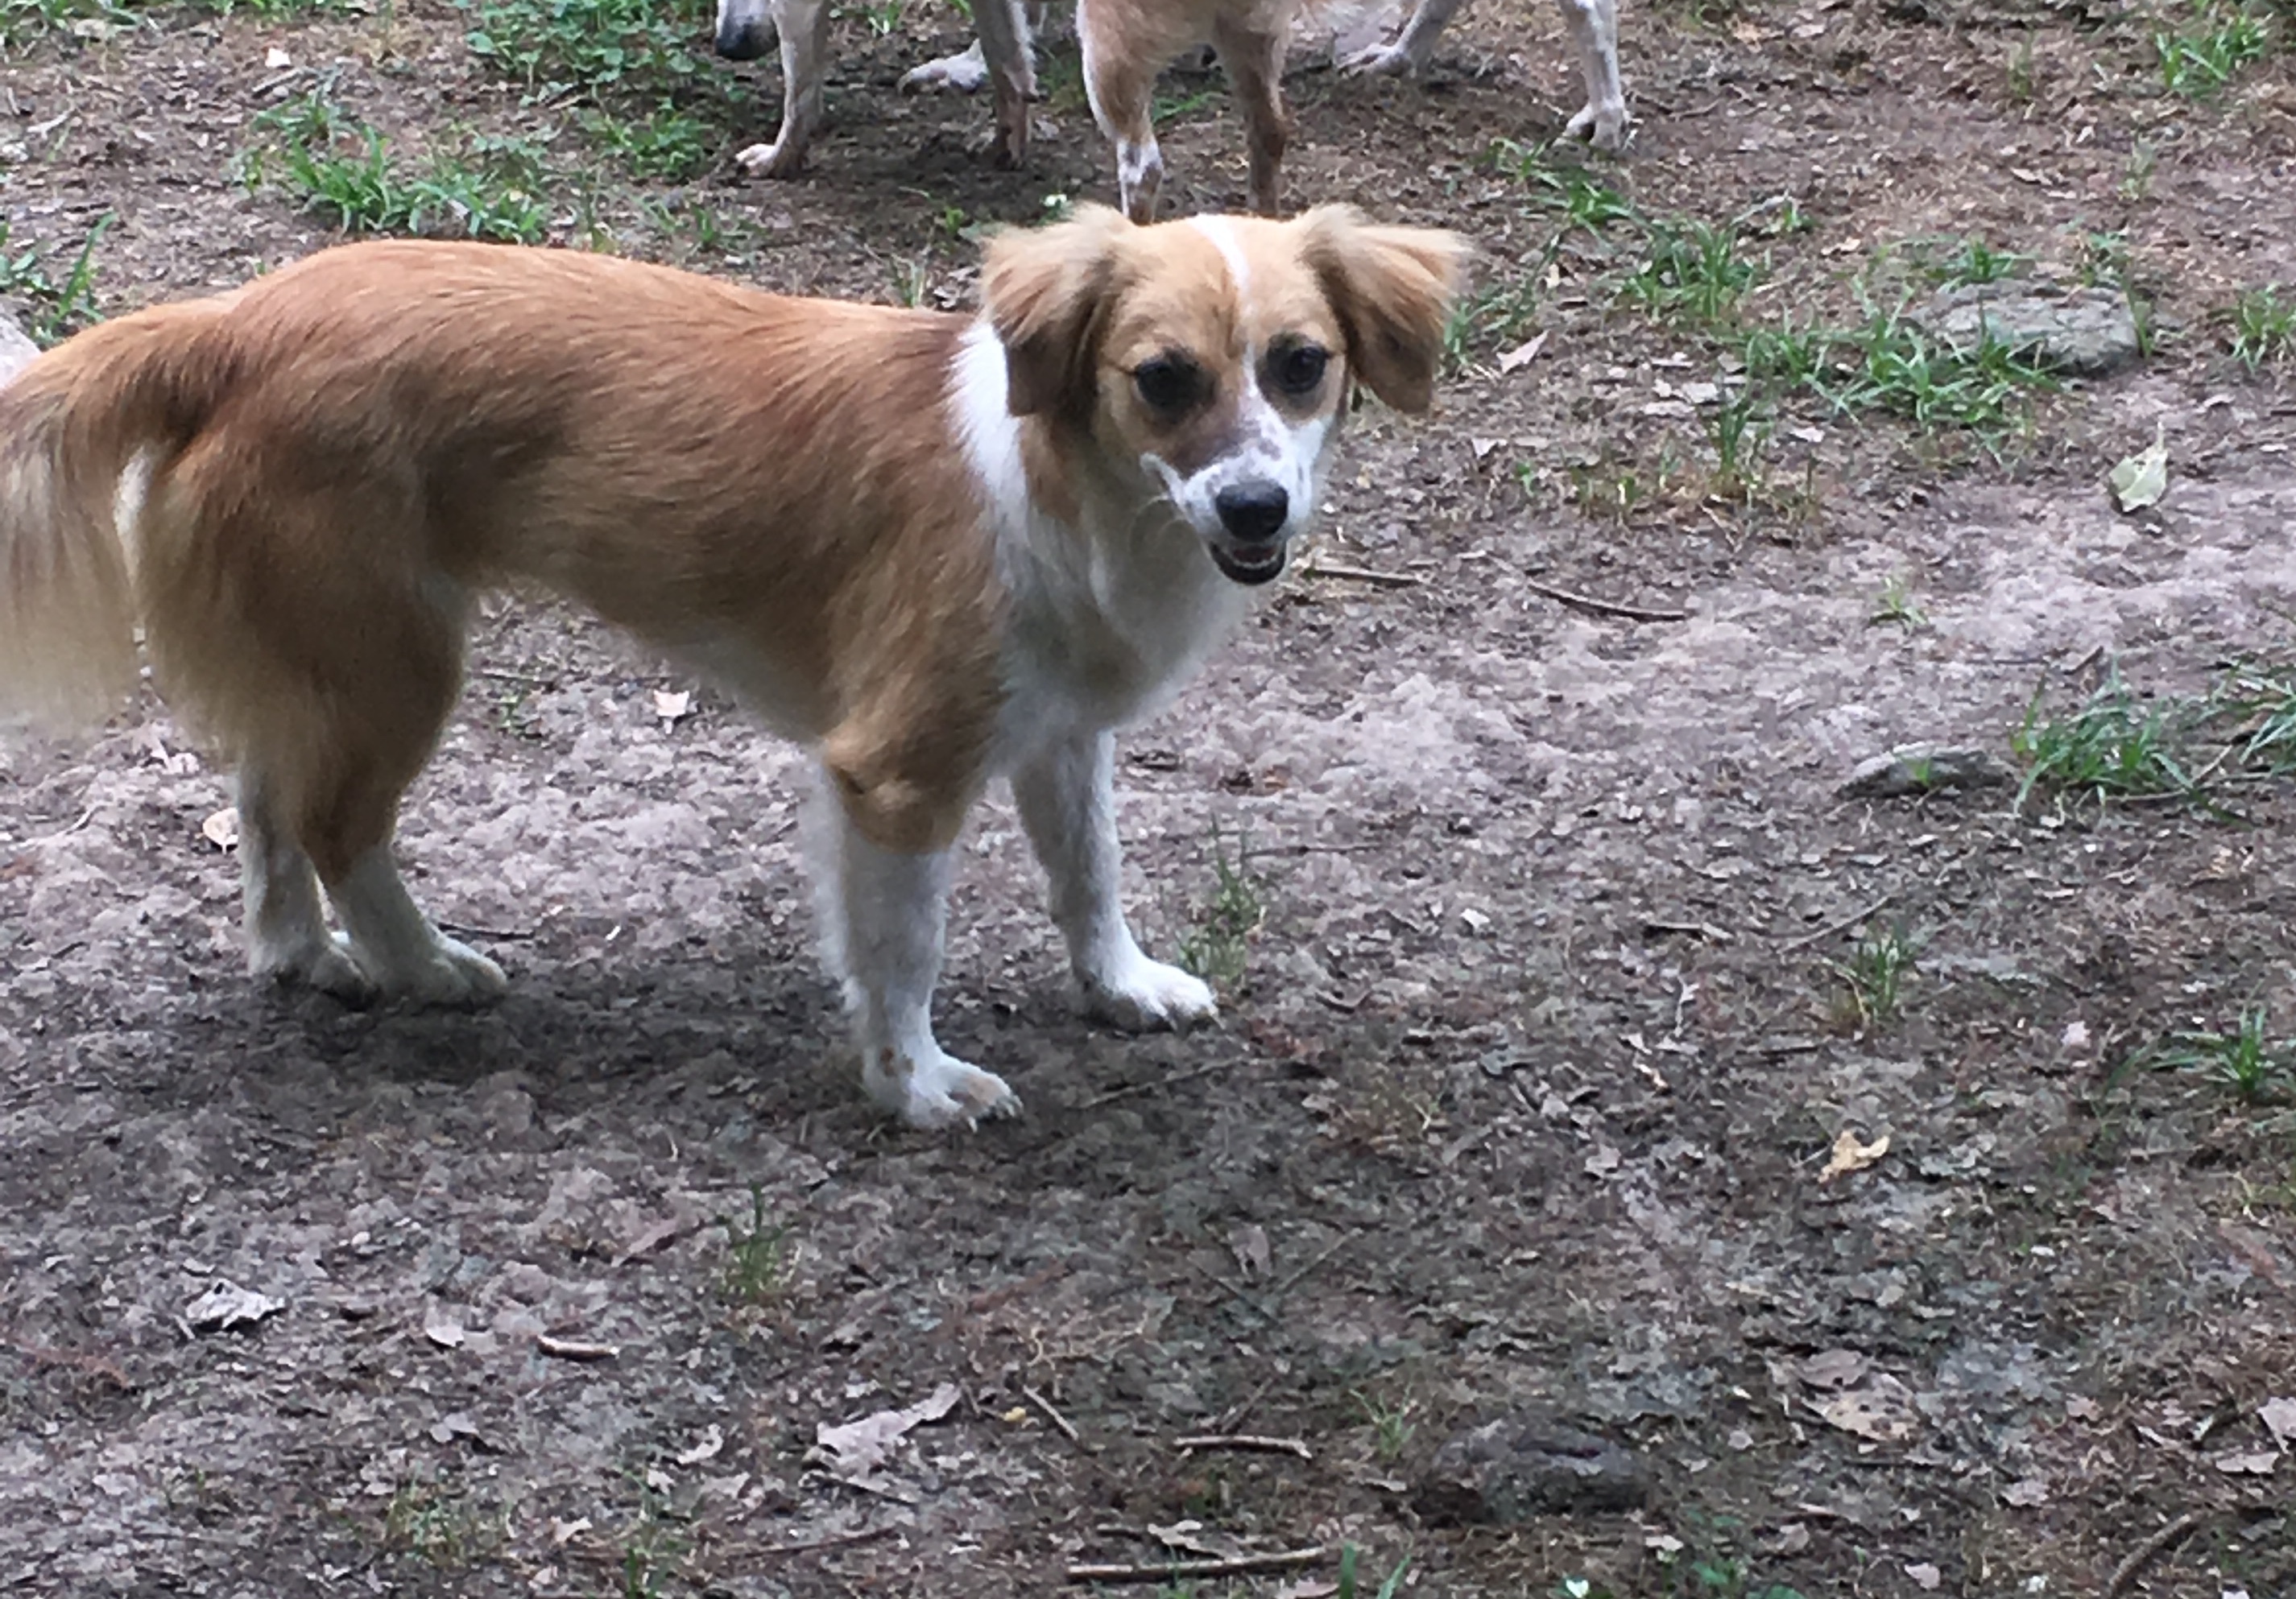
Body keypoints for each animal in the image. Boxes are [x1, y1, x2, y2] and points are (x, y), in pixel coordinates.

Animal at [0, 212, 1460, 1128]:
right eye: (1160, 379)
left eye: (1301, 364)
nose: (1257, 508)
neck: (1072, 487)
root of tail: (233, 321)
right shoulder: (899, 772)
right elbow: (906, 949)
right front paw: (913, 1085)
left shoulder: (1057, 732)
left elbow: (1088, 873)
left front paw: (1118, 985)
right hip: (396, 660)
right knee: (334, 820)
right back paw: (418, 964)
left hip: (322, 652)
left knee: (262, 795)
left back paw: (301, 952)